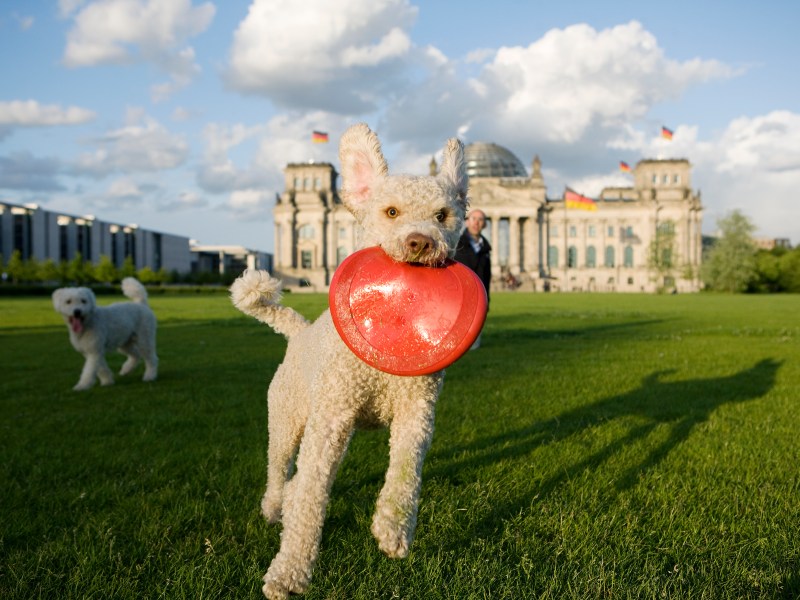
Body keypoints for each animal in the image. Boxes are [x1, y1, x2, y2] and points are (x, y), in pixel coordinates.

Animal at [230, 123, 468, 600]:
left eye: (442, 215)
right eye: (391, 212)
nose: (420, 242)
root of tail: (298, 331)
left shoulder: (416, 415)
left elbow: (404, 473)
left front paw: (393, 530)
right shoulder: (330, 424)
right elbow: (310, 497)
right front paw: (288, 572)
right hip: (288, 421)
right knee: (279, 471)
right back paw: (274, 506)